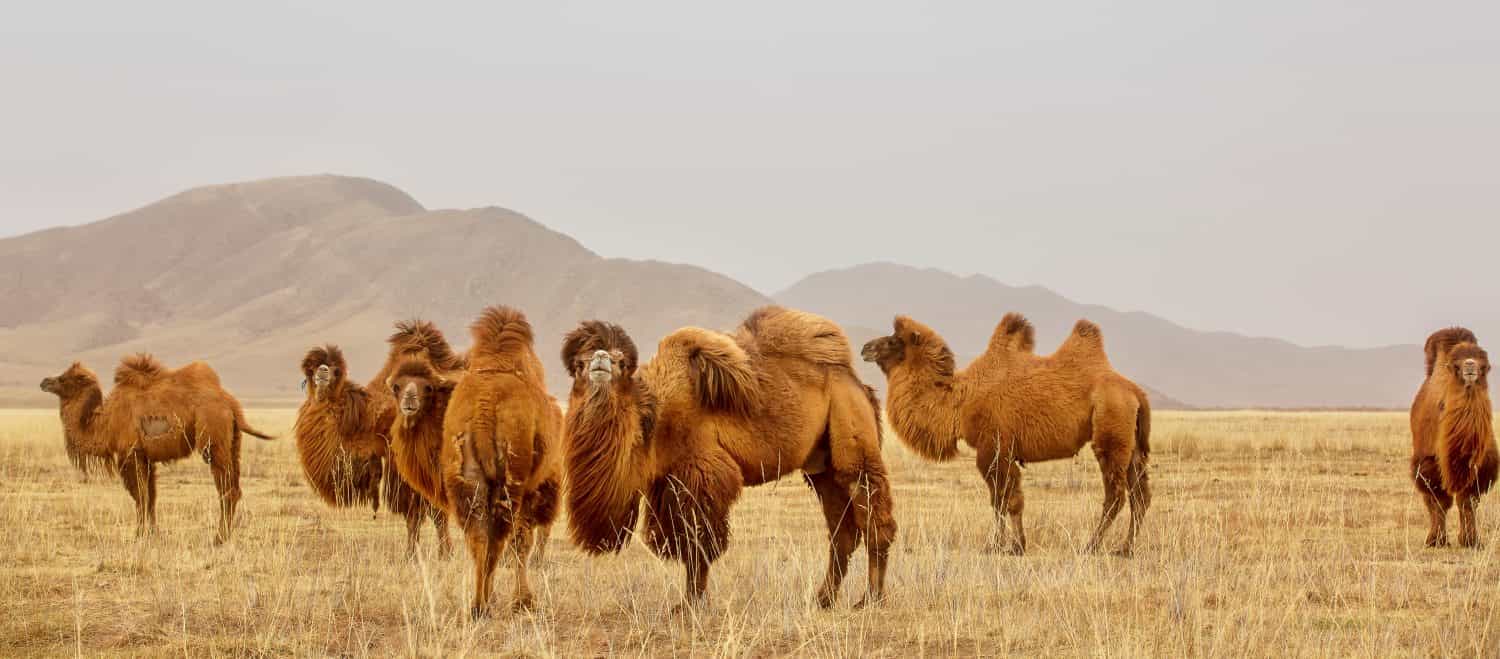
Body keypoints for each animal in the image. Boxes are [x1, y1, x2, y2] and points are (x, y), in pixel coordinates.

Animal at [40, 358, 276, 543]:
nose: (44, 382)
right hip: (233, 443)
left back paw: (219, 538)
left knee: (226, 489)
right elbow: (151, 497)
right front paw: (153, 534)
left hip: (213, 441)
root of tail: (230, 404)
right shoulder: (146, 458)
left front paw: (138, 535)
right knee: (234, 486)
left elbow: (140, 496)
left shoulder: (130, 455)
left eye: (64, 378)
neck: (103, 423)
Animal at [561, 307, 888, 612]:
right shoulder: (666, 483)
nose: (600, 360)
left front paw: (691, 603)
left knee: (872, 516)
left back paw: (870, 598)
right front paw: (689, 601)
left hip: (851, 430)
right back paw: (824, 599)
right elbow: (684, 540)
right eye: (579, 364)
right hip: (821, 467)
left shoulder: (701, 473)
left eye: (621, 363)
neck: (656, 420)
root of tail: (858, 383)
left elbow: (699, 543)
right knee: (841, 531)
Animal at [858, 315, 1146, 558]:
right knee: (1140, 496)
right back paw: (1126, 549)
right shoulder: (999, 454)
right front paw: (1006, 544)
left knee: (1116, 496)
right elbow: (1000, 500)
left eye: (894, 340)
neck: (960, 401)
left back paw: (1091, 546)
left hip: (1111, 435)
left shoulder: (993, 449)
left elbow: (1008, 501)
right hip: (1134, 446)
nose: (865, 348)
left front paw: (1009, 546)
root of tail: (1135, 392)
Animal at [1410, 327, 1494, 549]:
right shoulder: (1430, 461)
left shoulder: (1480, 466)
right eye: (1456, 366)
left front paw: (1471, 541)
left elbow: (1468, 502)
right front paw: (1436, 540)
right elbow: (1439, 501)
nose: (1470, 365)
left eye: (1484, 365)